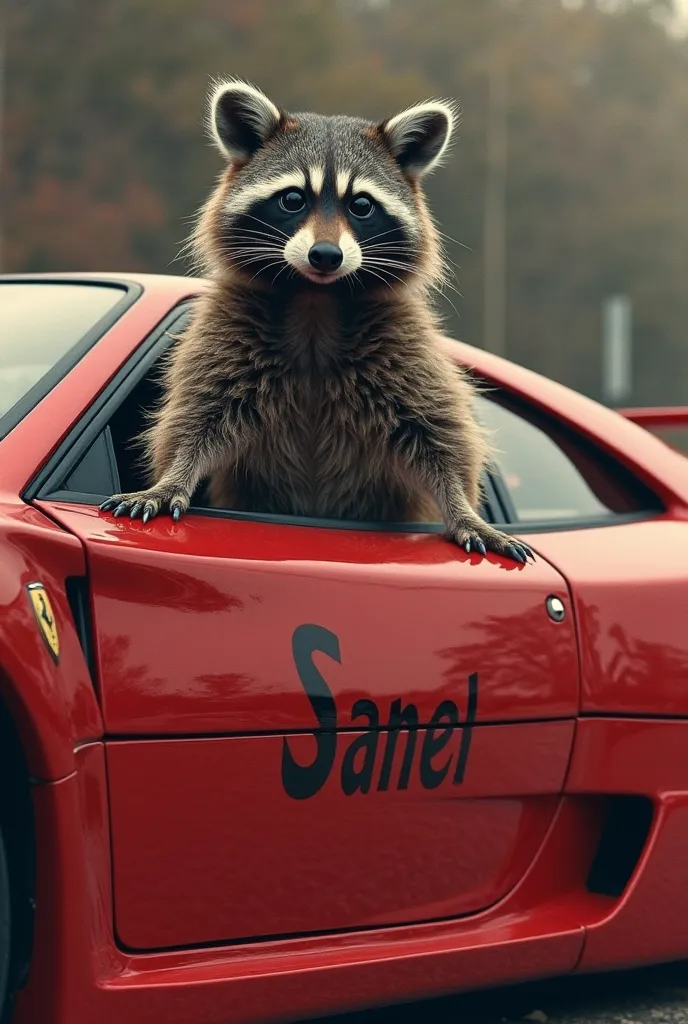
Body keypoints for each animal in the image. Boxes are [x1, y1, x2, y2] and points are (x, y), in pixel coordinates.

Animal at [100, 76, 532, 565]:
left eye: (361, 205)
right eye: (293, 198)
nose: (326, 255)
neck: (315, 299)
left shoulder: (402, 345)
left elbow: (437, 430)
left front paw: (463, 508)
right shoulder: (228, 332)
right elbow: (199, 414)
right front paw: (172, 477)